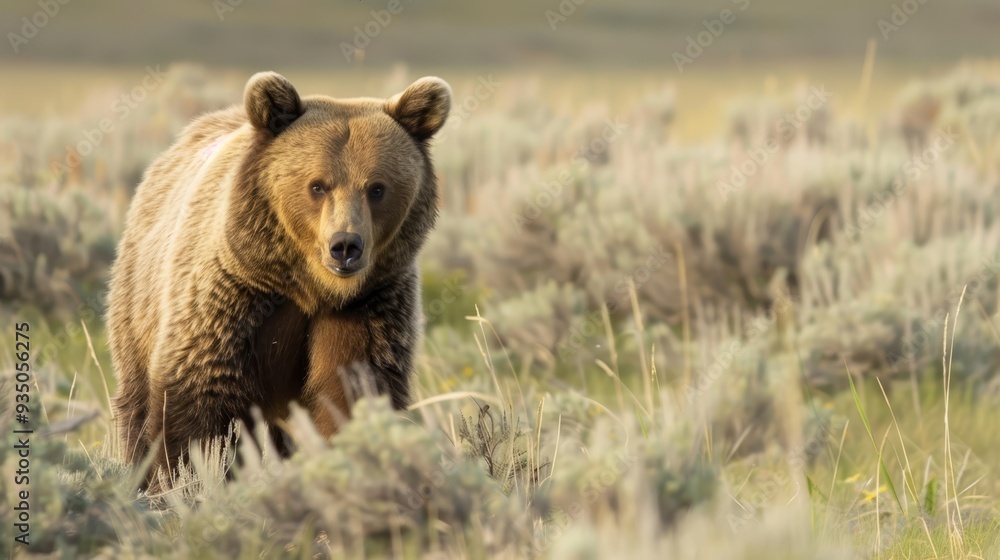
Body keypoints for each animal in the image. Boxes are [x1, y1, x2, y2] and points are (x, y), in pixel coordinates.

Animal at [106, 71, 451, 490]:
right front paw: (187, 480)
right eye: (318, 185)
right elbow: (197, 396)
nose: (345, 246)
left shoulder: (369, 305)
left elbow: (353, 388)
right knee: (136, 399)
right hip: (138, 294)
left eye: (377, 188)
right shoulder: (232, 295)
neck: (308, 287)